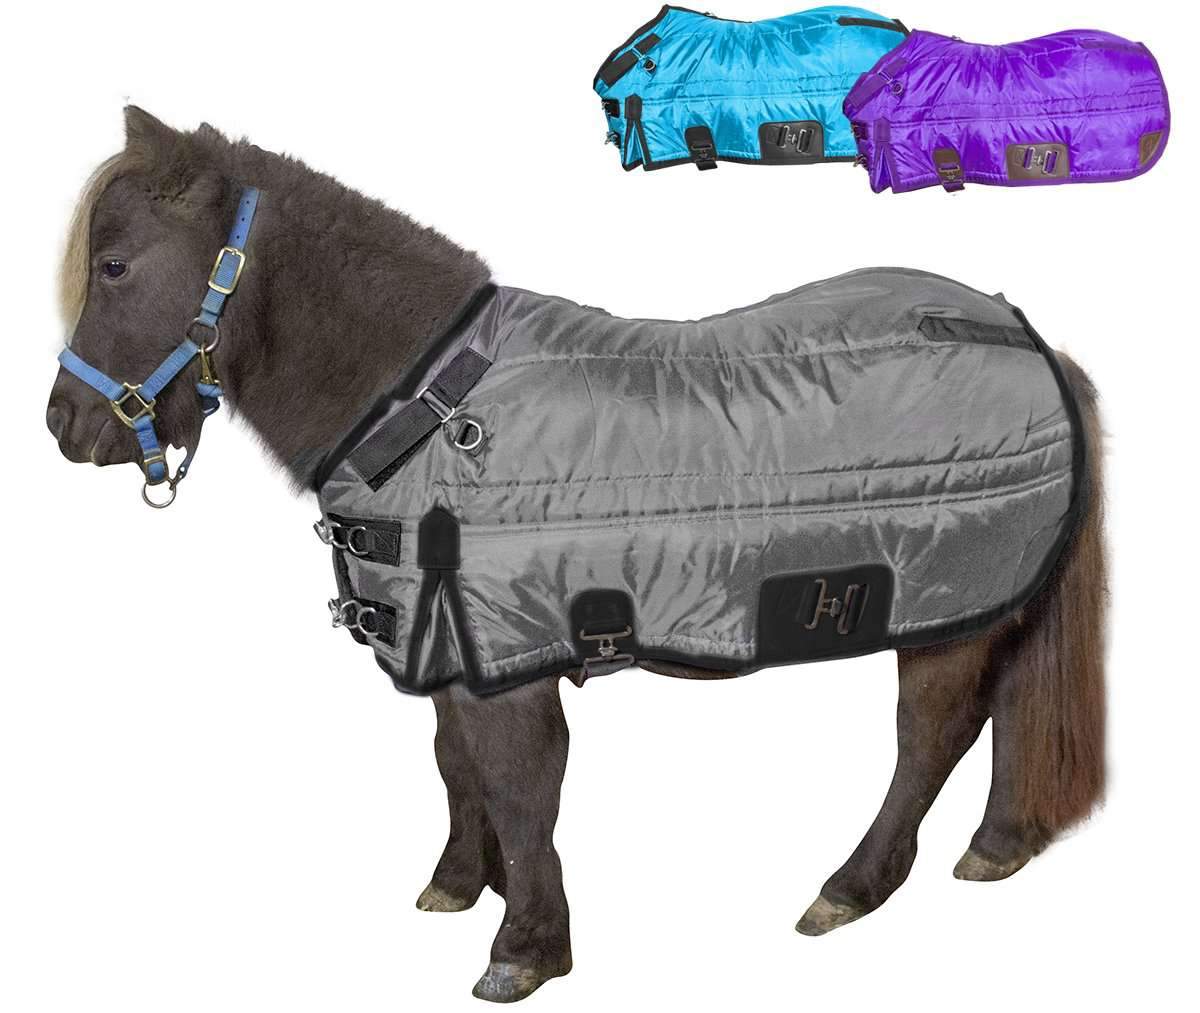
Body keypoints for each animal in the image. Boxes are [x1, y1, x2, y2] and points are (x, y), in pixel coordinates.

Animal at [45, 107, 1107, 1003]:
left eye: (116, 266)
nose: (64, 423)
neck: (420, 402)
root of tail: (1029, 338)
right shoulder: (449, 644)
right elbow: (456, 766)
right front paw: (459, 883)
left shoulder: (507, 653)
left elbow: (520, 783)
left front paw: (524, 948)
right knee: (1006, 704)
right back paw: (997, 844)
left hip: (944, 608)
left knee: (932, 733)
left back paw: (851, 885)